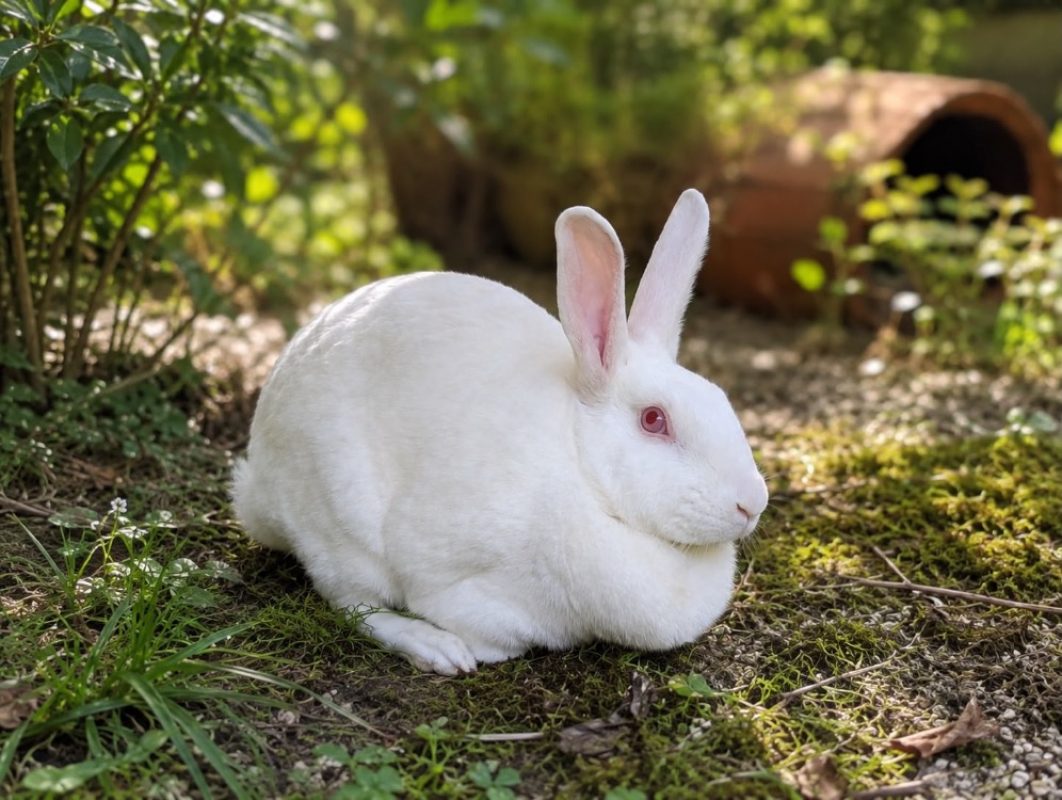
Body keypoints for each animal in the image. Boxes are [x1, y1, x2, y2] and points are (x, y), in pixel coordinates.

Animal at [232, 189, 769, 675]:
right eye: (654, 420)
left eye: (721, 399)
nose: (752, 504)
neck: (581, 470)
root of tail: (256, 485)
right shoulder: (451, 575)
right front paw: (472, 646)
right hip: (339, 524)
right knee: (353, 604)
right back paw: (435, 648)